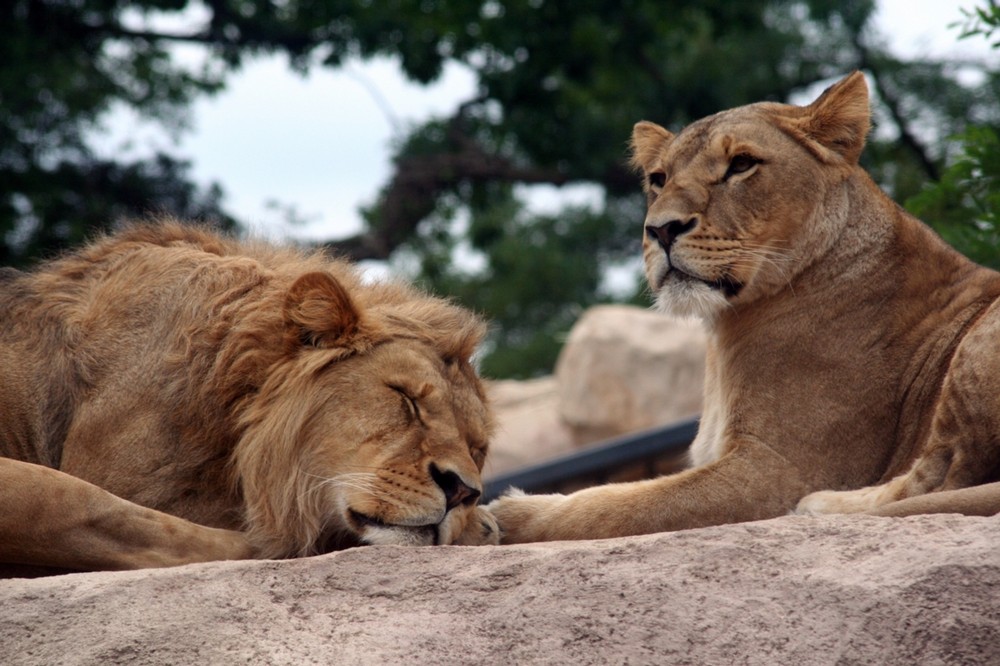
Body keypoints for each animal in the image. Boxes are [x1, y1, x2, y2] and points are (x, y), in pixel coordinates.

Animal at [488, 70, 1000, 544]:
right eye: (658, 179)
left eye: (741, 164)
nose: (661, 229)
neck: (724, 330)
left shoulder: (777, 468)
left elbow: (624, 505)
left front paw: (510, 515)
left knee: (942, 475)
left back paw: (820, 505)